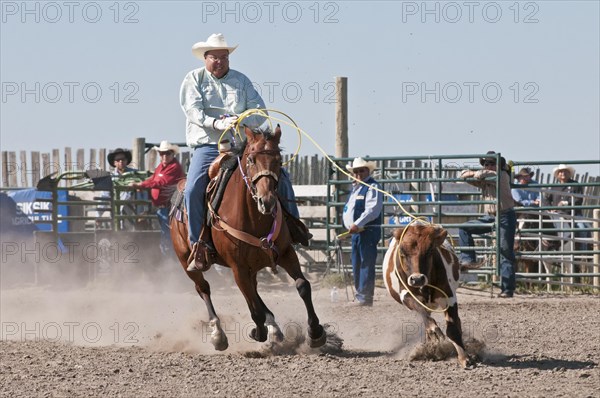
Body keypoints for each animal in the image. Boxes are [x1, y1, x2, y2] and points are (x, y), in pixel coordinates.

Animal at [169, 124, 328, 352]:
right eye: (251, 159)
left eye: (279, 159)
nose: (267, 201)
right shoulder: (238, 267)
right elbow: (254, 310)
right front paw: (258, 332)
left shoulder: (286, 253)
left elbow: (303, 286)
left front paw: (315, 333)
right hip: (187, 261)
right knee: (204, 289)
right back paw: (219, 334)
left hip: (253, 266)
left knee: (254, 291)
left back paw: (274, 328)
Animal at [384, 222, 474, 368]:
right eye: (402, 252)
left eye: (430, 250)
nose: (417, 279)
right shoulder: (407, 296)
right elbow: (426, 318)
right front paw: (434, 333)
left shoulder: (449, 297)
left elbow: (453, 329)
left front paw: (464, 357)